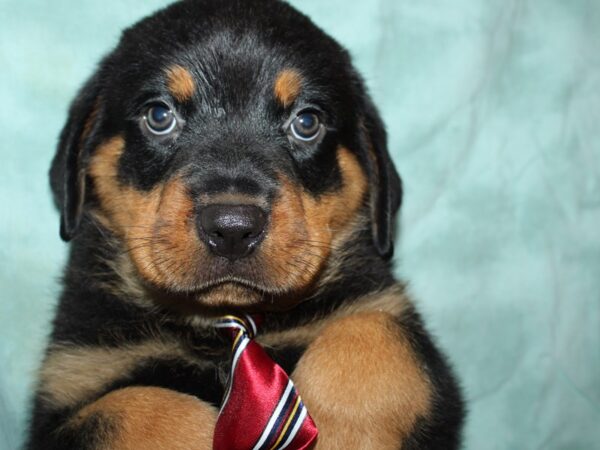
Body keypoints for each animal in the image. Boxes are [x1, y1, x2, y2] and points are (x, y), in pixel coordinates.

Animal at [27, 0, 464, 450]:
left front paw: (343, 433)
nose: (233, 228)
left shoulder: (384, 311)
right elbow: (131, 411)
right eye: (159, 115)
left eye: (307, 122)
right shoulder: (74, 375)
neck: (223, 323)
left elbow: (373, 333)